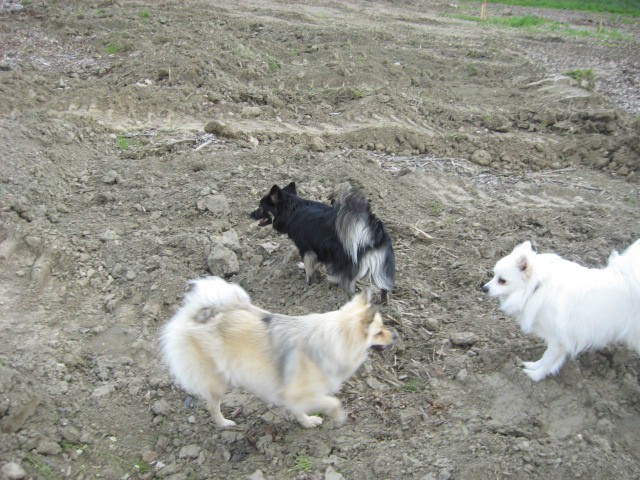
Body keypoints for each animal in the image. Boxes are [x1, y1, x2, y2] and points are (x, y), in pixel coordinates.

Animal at [160, 278, 396, 428]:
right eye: (378, 332)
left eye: (384, 326)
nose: (394, 336)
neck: (336, 339)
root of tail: (200, 313)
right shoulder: (301, 392)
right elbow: (333, 402)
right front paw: (339, 417)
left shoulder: (290, 393)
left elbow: (298, 408)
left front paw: (307, 422)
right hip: (218, 380)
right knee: (211, 404)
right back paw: (224, 423)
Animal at [251, 182, 396, 302]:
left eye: (260, 208)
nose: (250, 214)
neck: (292, 210)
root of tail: (371, 230)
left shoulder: (306, 248)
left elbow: (309, 267)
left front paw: (308, 283)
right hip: (382, 264)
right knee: (384, 286)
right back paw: (383, 303)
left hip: (341, 255)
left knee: (348, 282)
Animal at [484, 240, 640, 382]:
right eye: (493, 275)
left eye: (502, 280)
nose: (484, 288)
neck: (537, 287)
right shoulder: (563, 338)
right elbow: (549, 358)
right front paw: (534, 366)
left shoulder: (556, 338)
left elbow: (548, 357)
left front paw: (536, 375)